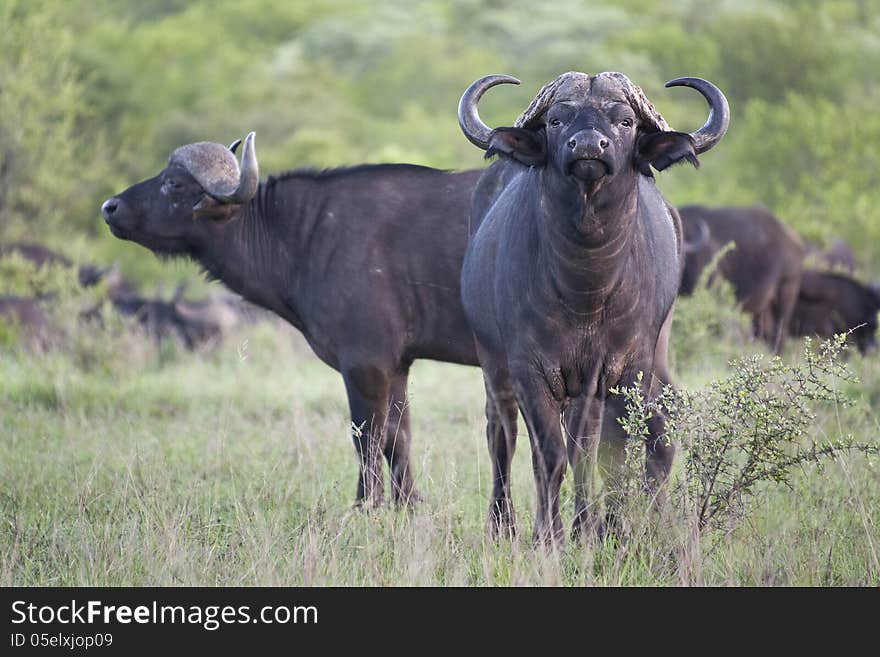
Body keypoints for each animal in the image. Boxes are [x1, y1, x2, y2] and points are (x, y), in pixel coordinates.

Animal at [104, 137, 492, 508]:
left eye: (173, 183)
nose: (110, 207)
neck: (303, 236)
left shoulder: (365, 364)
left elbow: (366, 435)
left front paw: (367, 503)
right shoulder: (397, 365)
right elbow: (397, 437)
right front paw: (407, 503)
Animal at [458, 73, 724, 544]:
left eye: (625, 121)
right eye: (557, 120)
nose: (587, 146)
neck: (585, 286)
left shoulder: (611, 371)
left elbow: (597, 453)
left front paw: (597, 529)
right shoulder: (529, 369)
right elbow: (549, 454)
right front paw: (549, 536)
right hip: (492, 362)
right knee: (501, 433)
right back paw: (503, 524)